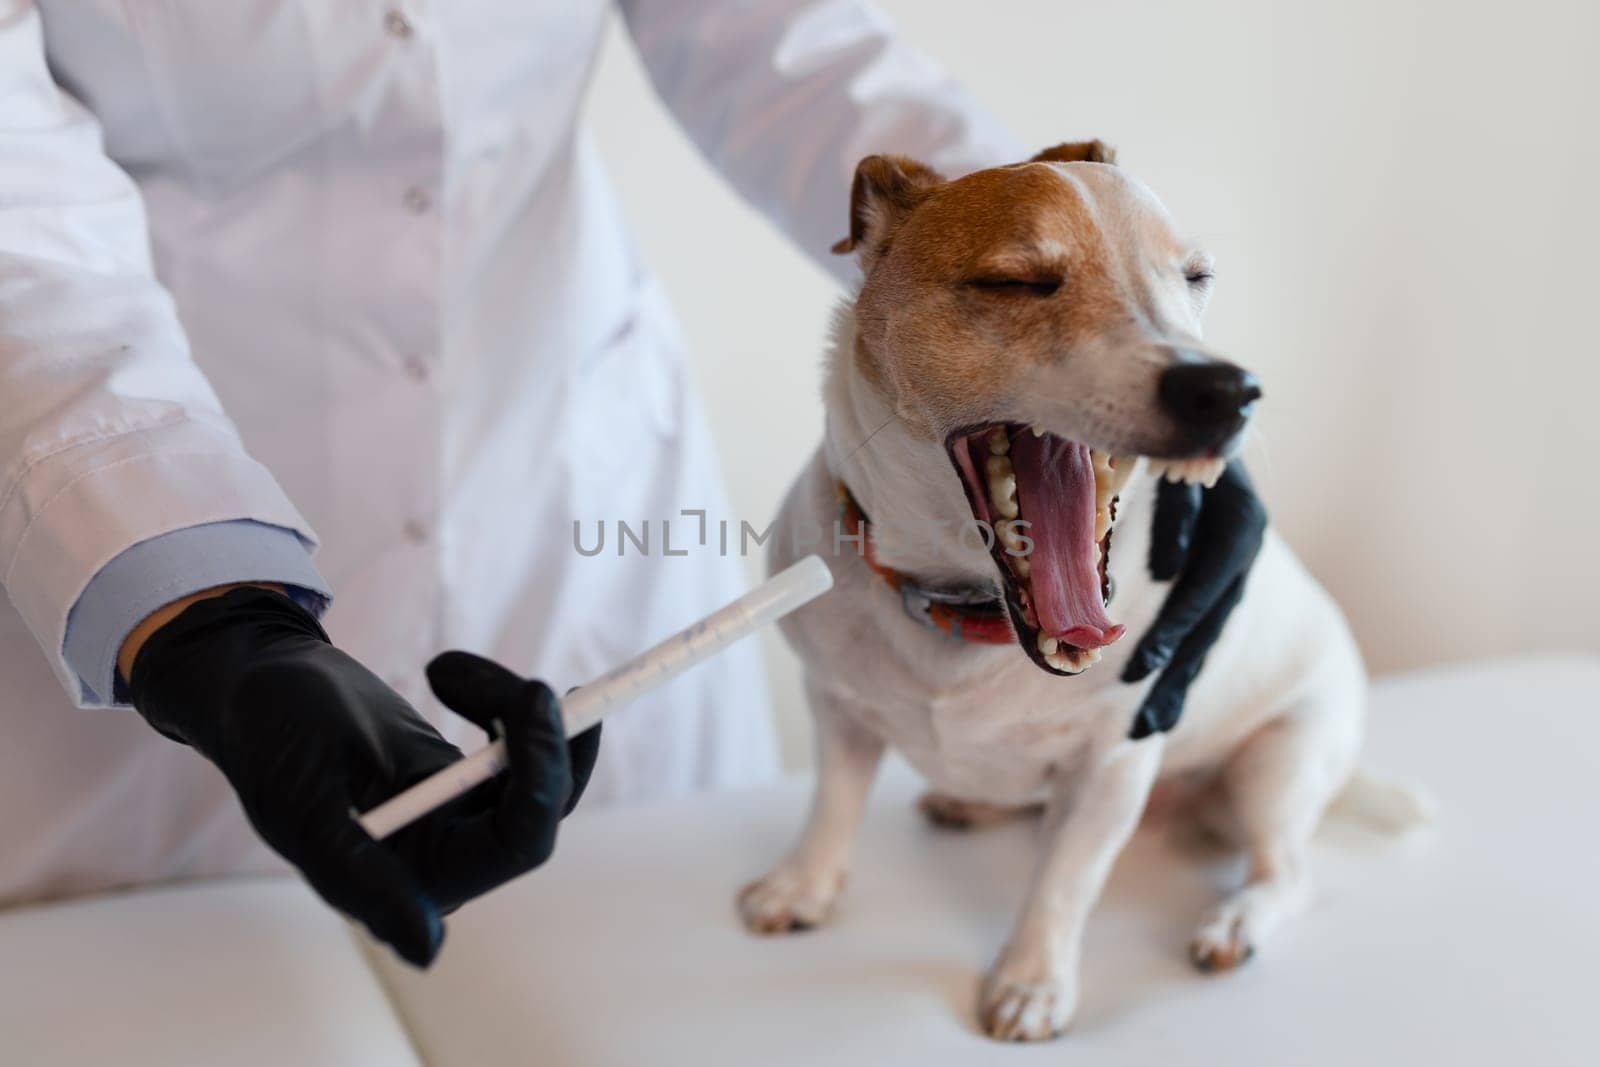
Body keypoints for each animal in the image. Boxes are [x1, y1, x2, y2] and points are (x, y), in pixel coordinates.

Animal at [736, 141, 1427, 1043]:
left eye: (1195, 276)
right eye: (1015, 281)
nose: (1226, 389)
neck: (964, 610)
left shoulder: (1111, 767)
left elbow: (1062, 881)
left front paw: (1031, 979)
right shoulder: (839, 707)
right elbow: (832, 805)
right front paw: (803, 883)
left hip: (1279, 761)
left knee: (1287, 871)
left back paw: (1235, 920)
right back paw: (975, 802)